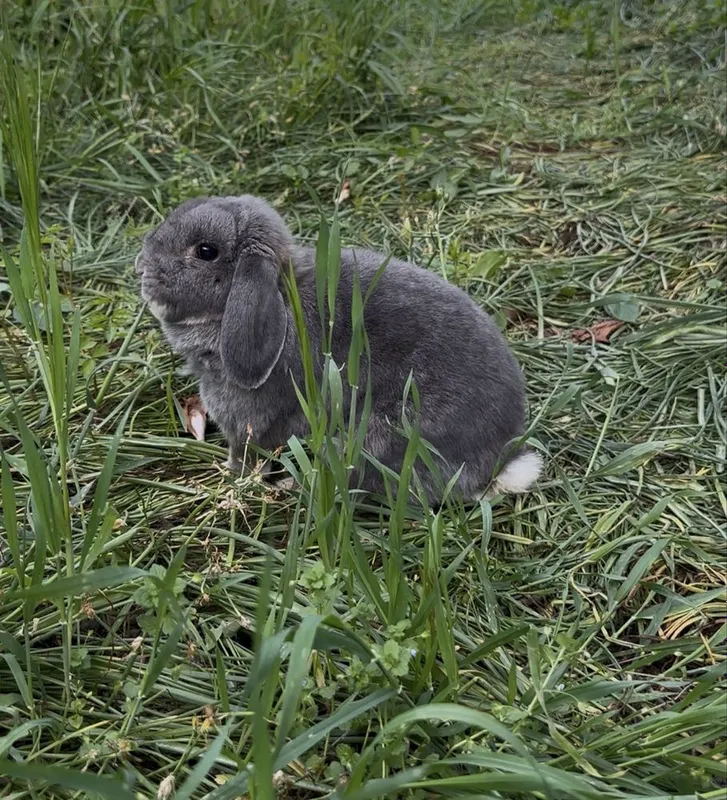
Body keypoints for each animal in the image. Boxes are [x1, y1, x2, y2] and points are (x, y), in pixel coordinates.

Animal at [135, 195, 542, 502]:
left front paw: (231, 474)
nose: (141, 266)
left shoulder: (248, 417)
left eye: (206, 251)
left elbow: (246, 451)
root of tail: (496, 464)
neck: (280, 294)